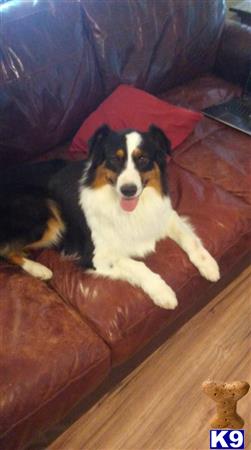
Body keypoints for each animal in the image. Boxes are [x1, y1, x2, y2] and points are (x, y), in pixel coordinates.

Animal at [0, 125, 220, 310]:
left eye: (142, 159)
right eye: (115, 159)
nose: (128, 190)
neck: (131, 210)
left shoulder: (165, 215)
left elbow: (190, 239)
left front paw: (209, 265)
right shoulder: (97, 256)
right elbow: (138, 265)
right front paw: (163, 292)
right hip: (48, 215)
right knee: (5, 251)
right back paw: (39, 269)